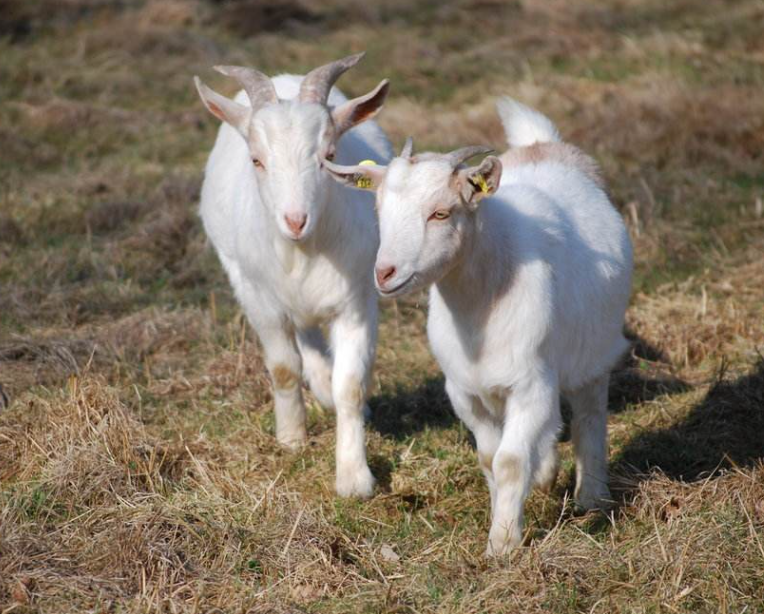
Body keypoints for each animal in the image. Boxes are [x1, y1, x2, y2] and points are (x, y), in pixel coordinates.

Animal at [194, 54, 394, 500]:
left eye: (329, 154)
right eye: (256, 160)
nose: (295, 220)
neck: (303, 252)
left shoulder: (356, 301)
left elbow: (350, 384)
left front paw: (354, 477)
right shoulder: (259, 297)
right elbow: (284, 368)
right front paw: (291, 439)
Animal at [326, 100, 636, 552]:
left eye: (441, 212)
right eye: (379, 209)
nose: (385, 273)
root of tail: (542, 145)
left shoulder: (530, 384)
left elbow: (509, 460)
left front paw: (503, 543)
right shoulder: (465, 391)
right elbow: (490, 457)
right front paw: (503, 516)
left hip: (594, 351)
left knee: (589, 414)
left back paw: (592, 497)